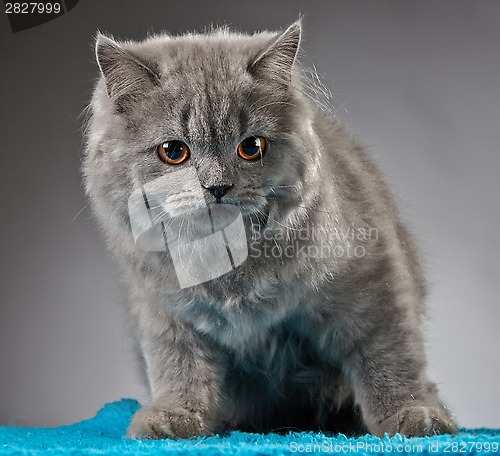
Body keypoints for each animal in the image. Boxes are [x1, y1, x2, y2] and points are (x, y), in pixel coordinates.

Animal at [82, 20, 458, 438]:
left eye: (251, 147)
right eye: (174, 152)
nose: (217, 186)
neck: (226, 260)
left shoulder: (371, 278)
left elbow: (389, 355)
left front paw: (412, 414)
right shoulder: (164, 309)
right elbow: (178, 365)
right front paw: (173, 416)